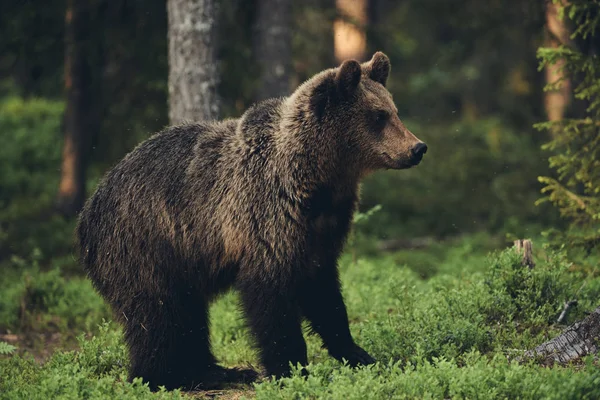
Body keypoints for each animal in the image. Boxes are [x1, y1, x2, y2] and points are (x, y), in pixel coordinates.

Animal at [78, 52, 426, 390]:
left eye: (393, 110)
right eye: (378, 116)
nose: (417, 148)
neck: (316, 177)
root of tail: (90, 208)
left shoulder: (322, 226)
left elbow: (325, 293)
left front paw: (358, 354)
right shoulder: (265, 216)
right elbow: (271, 300)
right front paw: (290, 369)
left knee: (190, 316)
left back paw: (217, 371)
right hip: (145, 245)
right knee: (159, 316)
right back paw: (163, 377)